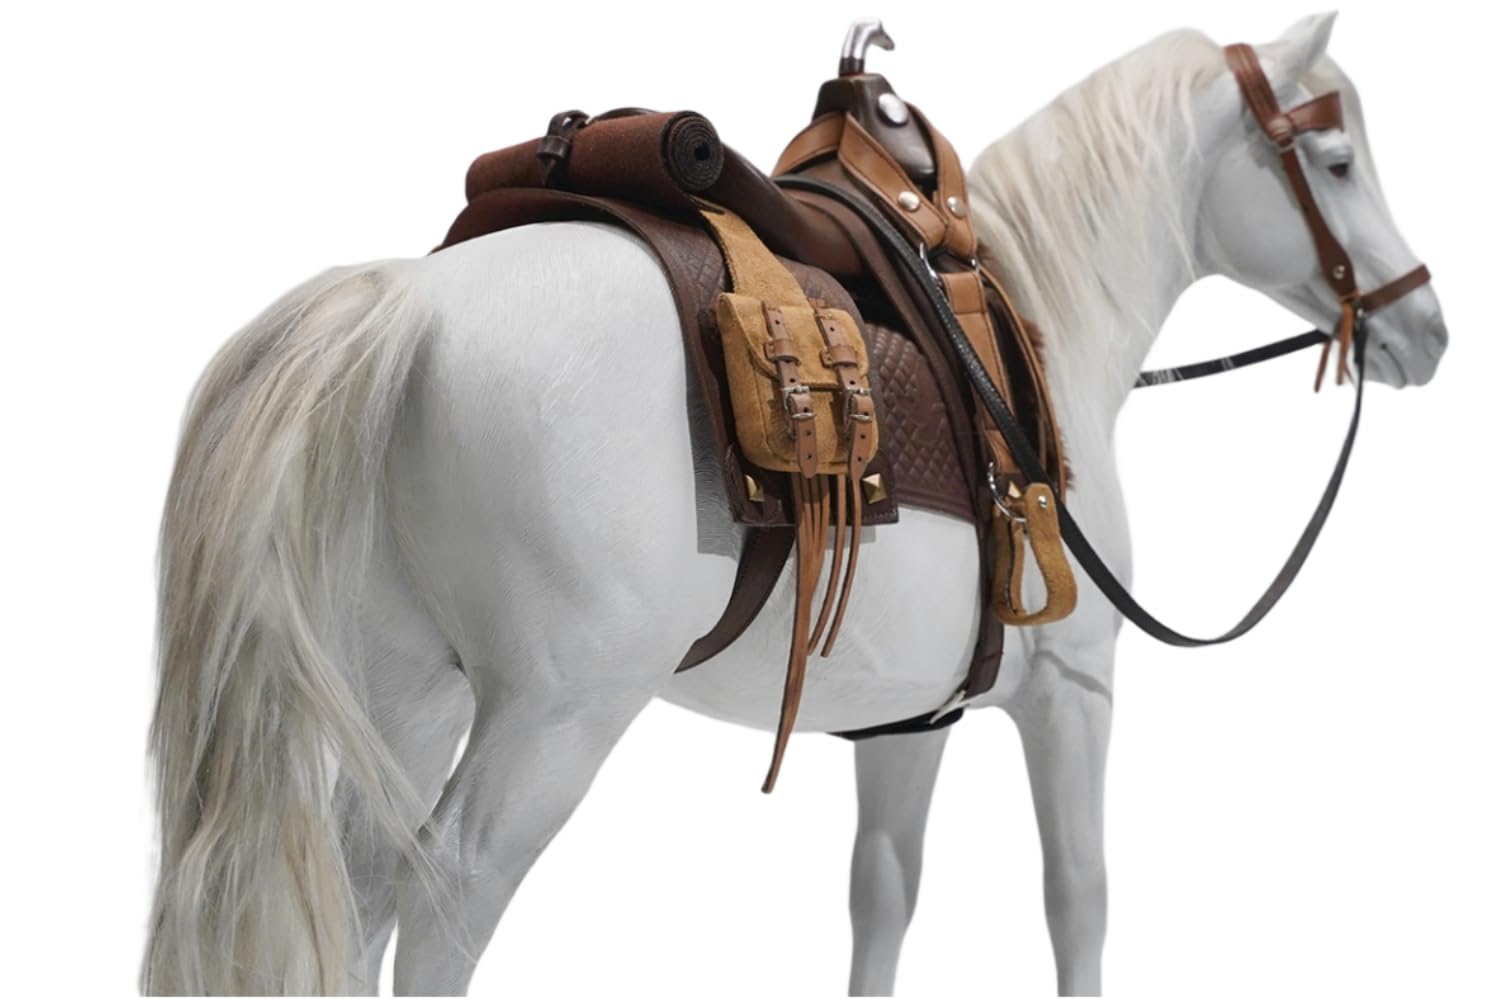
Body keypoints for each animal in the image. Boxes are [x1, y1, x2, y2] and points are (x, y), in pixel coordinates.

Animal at [141, 12, 1447, 995]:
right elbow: (1079, 899)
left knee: (361, 886)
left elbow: (883, 891)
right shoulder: (1075, 693)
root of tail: (406, 304)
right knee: (446, 892)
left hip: (403, 689)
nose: (1425, 326)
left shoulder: (913, 718)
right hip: (553, 720)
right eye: (1335, 161)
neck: (1032, 313)